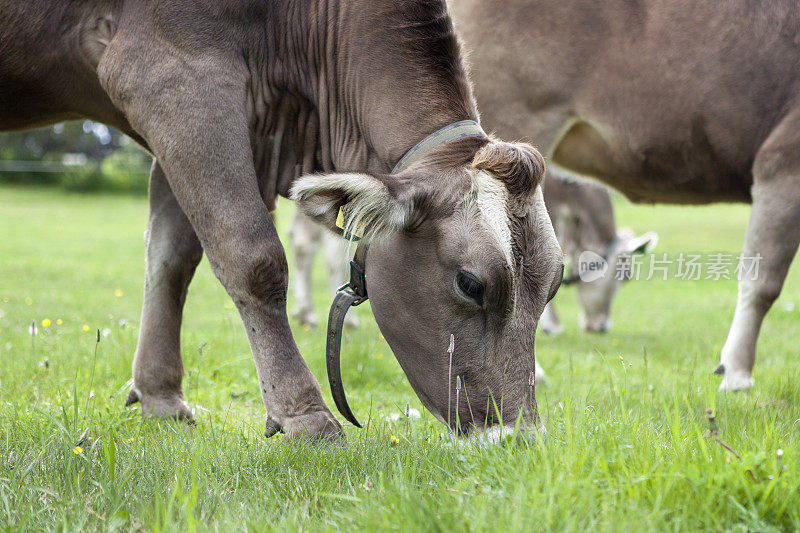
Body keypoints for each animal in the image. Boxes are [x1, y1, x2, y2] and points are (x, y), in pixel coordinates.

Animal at [0, 0, 564, 438]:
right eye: (471, 284)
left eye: (554, 285)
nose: (519, 439)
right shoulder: (170, 77)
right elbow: (252, 257)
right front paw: (304, 415)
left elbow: (172, 257)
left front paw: (160, 395)